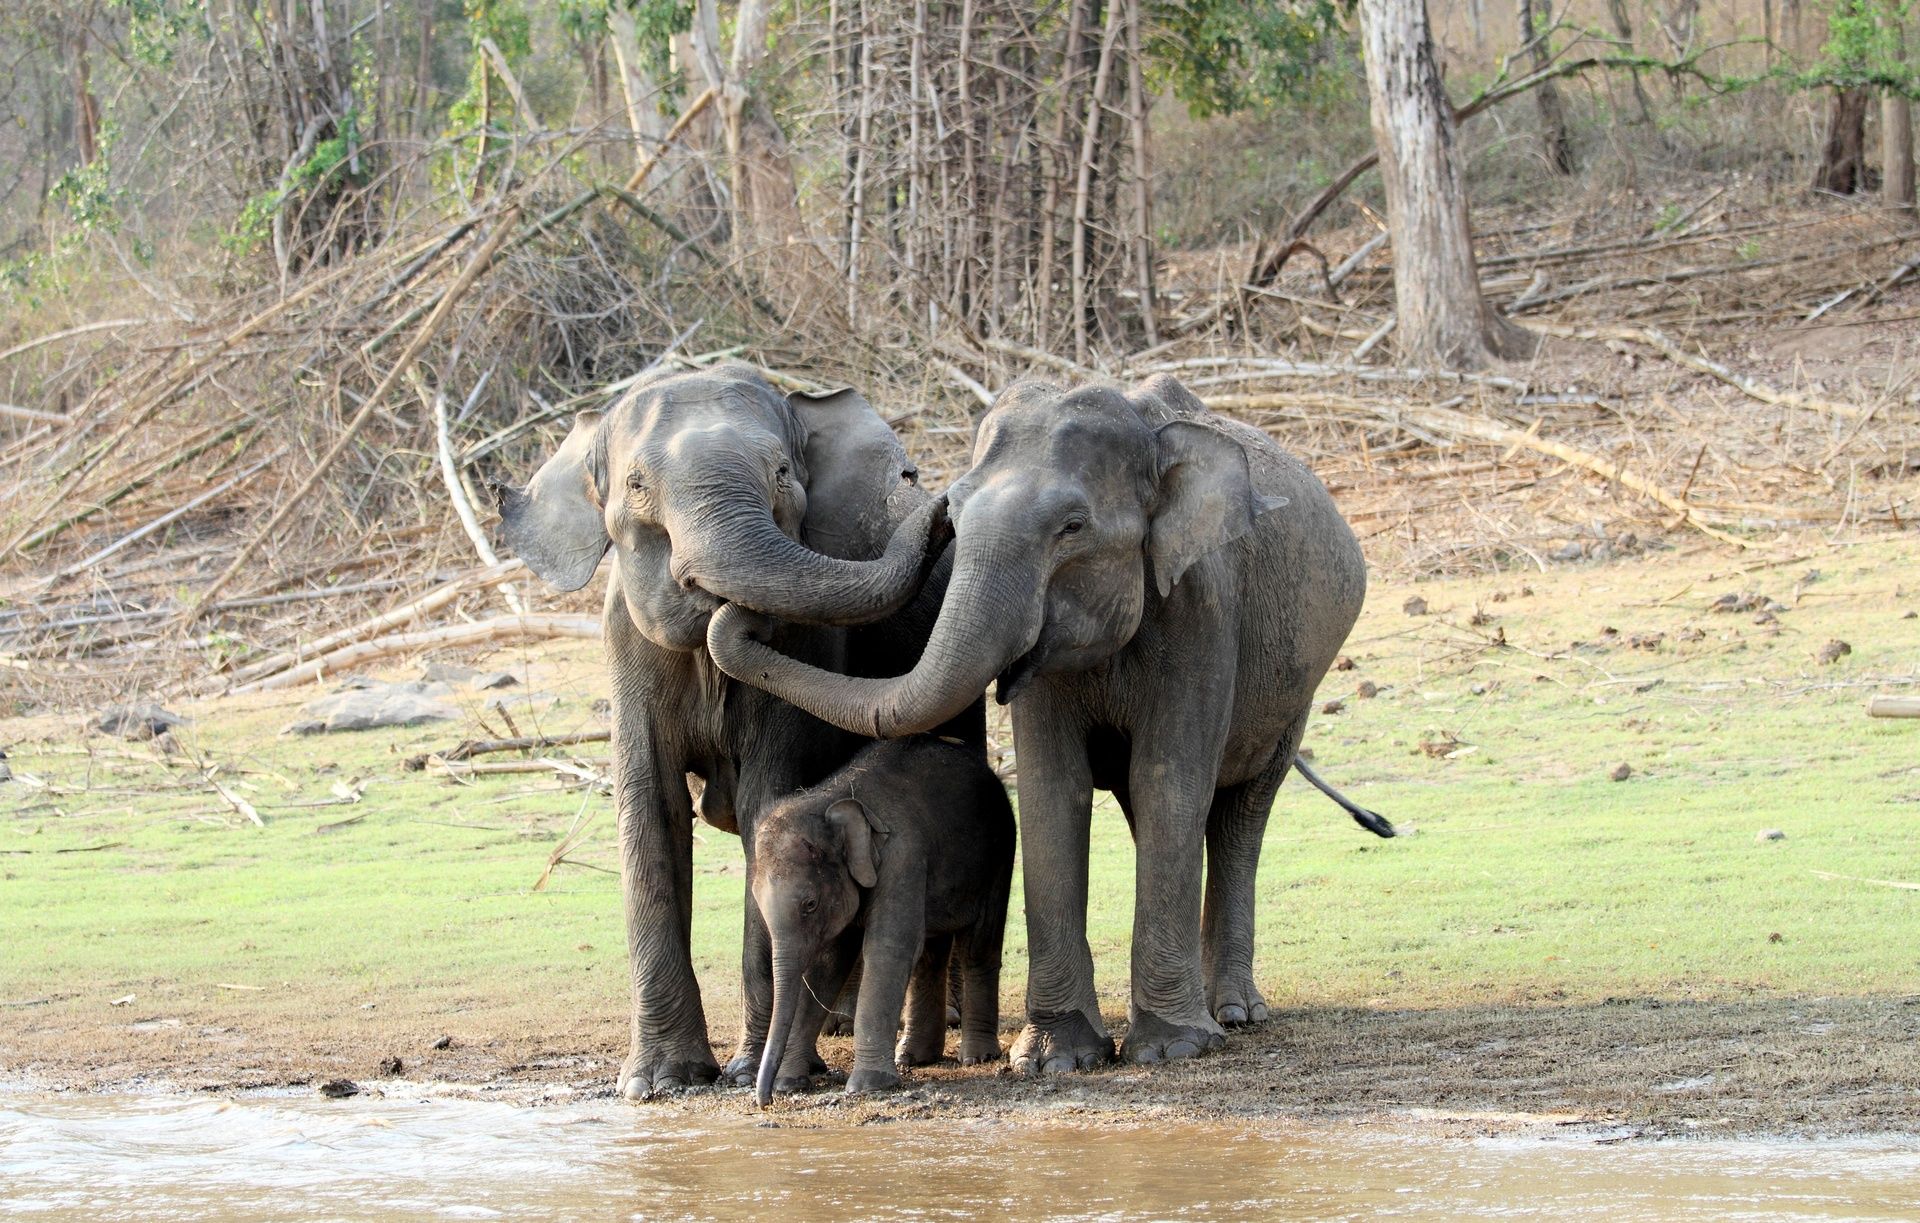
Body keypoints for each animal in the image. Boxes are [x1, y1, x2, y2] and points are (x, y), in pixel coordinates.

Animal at [492, 362, 978, 1099]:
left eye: (781, 473)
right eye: (637, 485)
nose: (944, 500)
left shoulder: (805, 643)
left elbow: (763, 803)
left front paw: (752, 1072)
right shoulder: (625, 646)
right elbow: (651, 810)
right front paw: (660, 1083)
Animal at [750, 735, 1014, 1105]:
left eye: (810, 904)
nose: (764, 1100)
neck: (829, 797)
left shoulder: (903, 854)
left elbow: (888, 948)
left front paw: (867, 1086)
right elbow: (827, 966)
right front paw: (790, 1083)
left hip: (998, 854)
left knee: (978, 946)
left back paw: (977, 1057)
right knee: (930, 954)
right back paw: (914, 1057)